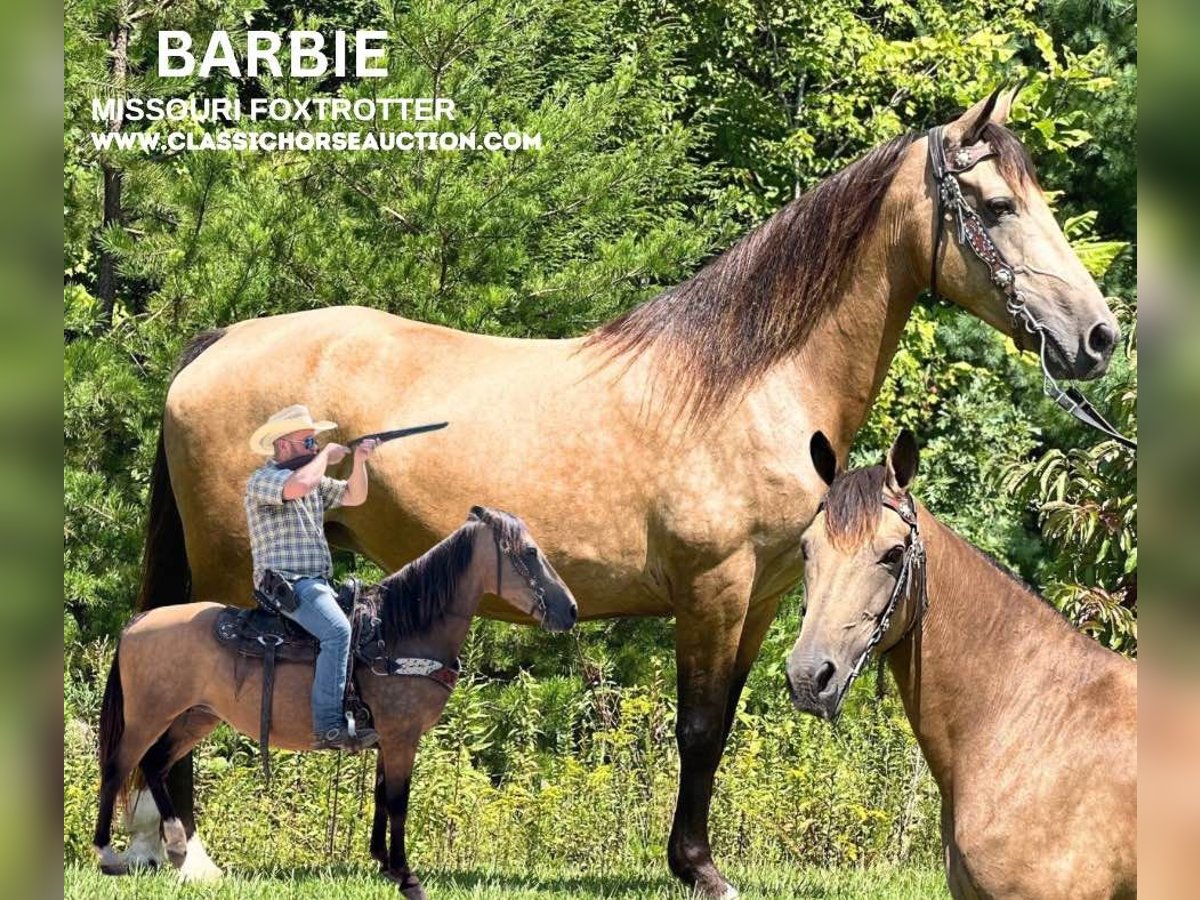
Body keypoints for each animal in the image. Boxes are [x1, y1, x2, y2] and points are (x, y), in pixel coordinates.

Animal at [96, 508, 573, 900]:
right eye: (529, 552)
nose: (569, 610)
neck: (398, 634)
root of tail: (139, 622)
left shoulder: (387, 737)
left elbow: (381, 798)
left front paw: (385, 865)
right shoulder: (402, 737)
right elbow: (398, 802)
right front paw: (408, 878)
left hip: (194, 718)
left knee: (155, 764)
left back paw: (176, 849)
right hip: (148, 716)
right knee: (119, 766)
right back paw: (107, 854)